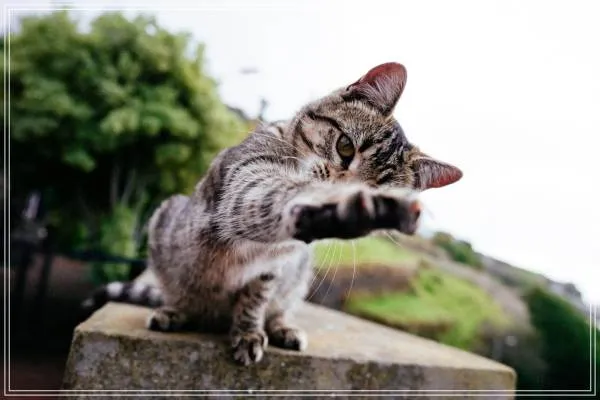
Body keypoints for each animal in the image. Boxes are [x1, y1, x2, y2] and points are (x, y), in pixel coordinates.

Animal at [80, 62, 463, 366]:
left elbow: (256, 299)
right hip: (167, 224)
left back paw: (282, 328)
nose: (345, 189)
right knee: (180, 295)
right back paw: (175, 310)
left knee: (277, 306)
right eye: (345, 147)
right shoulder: (246, 183)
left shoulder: (274, 267)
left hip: (298, 276)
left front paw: (249, 331)